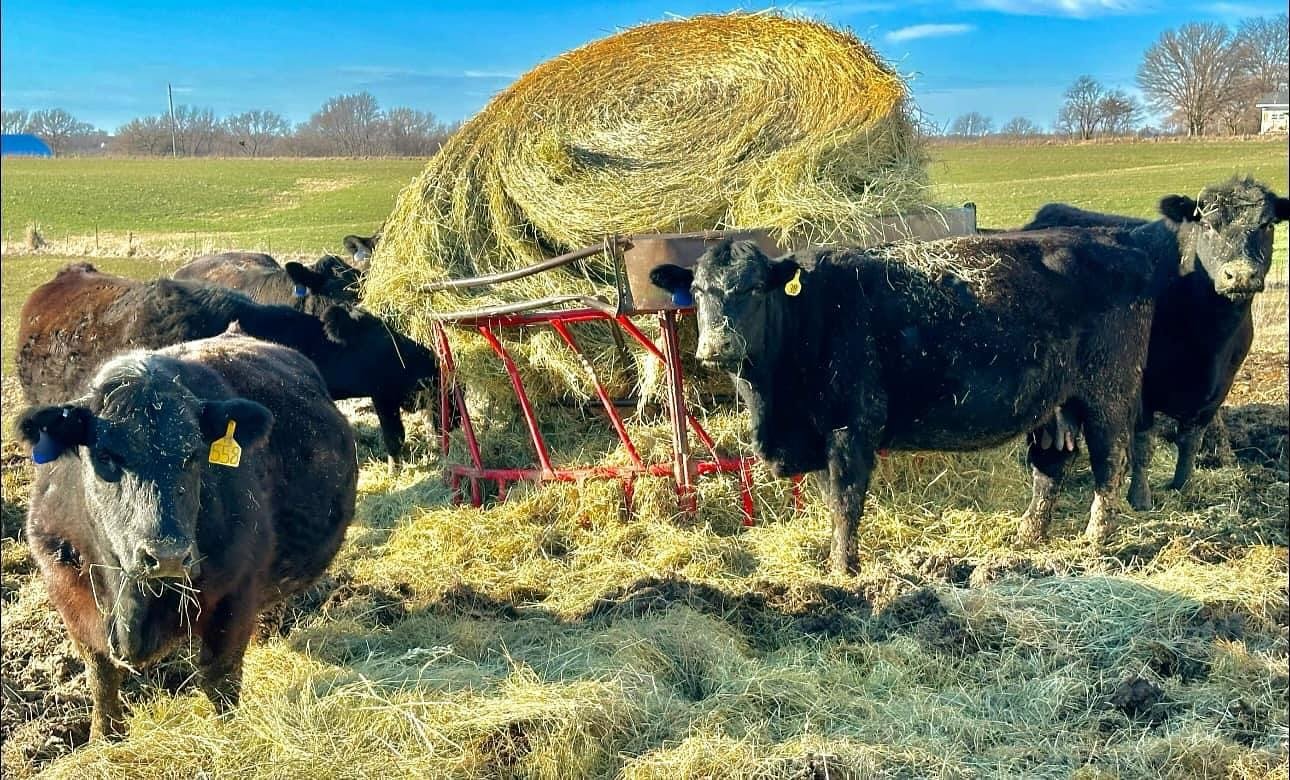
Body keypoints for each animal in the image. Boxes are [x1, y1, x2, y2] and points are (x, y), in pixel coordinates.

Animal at [15, 332, 358, 737]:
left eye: (193, 454)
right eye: (106, 456)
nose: (167, 556)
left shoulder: (235, 592)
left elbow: (218, 677)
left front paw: (228, 735)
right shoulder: (68, 593)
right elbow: (100, 676)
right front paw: (105, 735)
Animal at [650, 230, 1166, 572]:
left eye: (755, 288)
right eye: (696, 291)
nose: (718, 346)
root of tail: (1116, 242)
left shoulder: (851, 427)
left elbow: (846, 501)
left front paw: (844, 569)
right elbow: (829, 500)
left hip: (1108, 393)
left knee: (1110, 463)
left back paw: (1096, 539)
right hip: (1054, 403)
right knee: (1050, 465)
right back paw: (1027, 536)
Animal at [1026, 176, 1290, 507]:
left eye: (1266, 224)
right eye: (1207, 225)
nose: (1240, 275)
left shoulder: (1216, 392)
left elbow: (1189, 443)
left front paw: (1181, 485)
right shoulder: (1142, 389)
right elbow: (1143, 446)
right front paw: (1139, 497)